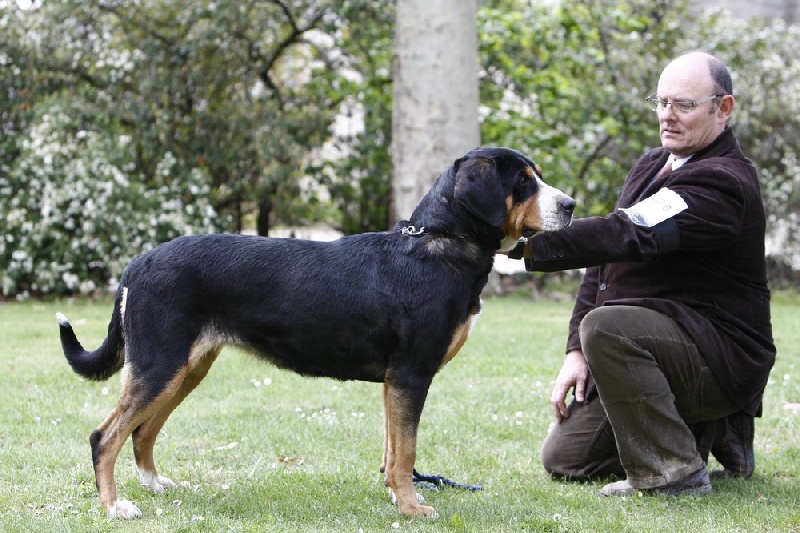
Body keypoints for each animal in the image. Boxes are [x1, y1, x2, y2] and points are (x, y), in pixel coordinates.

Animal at [56, 144, 576, 516]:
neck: (438, 244)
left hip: (184, 369)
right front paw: (412, 508)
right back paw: (116, 506)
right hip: (160, 364)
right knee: (106, 436)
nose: (571, 205)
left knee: (142, 432)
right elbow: (406, 452)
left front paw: (396, 498)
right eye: (524, 182)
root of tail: (138, 263)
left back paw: (154, 483)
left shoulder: (393, 382)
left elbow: (393, 450)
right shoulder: (411, 375)